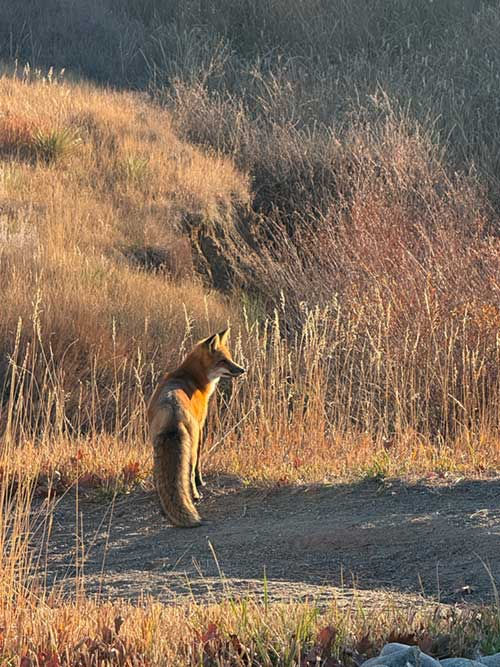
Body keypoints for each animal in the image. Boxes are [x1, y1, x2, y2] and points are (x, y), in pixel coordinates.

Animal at [147, 328, 245, 527]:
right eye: (223, 361)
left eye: (230, 358)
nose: (242, 369)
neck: (190, 377)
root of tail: (172, 410)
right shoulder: (201, 428)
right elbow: (198, 465)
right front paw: (201, 482)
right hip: (190, 445)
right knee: (190, 471)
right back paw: (195, 494)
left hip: (155, 444)